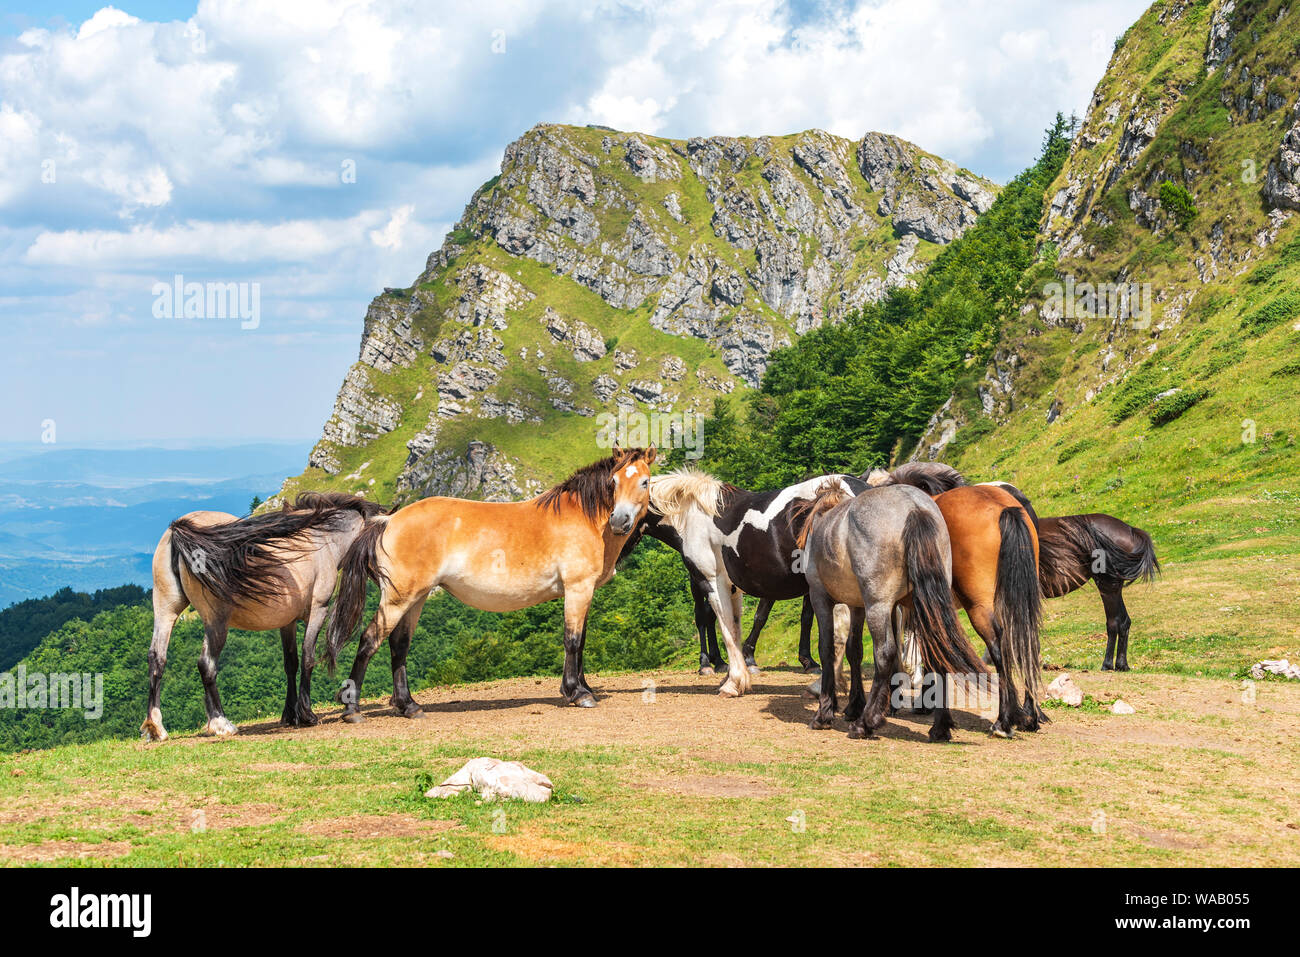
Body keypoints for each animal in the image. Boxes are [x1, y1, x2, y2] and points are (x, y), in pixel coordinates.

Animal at [143, 494, 387, 738]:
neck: (323, 540)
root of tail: (178, 533)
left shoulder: (287, 622)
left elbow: (291, 663)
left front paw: (290, 715)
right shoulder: (319, 610)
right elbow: (308, 657)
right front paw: (306, 714)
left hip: (166, 611)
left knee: (157, 659)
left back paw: (155, 727)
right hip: (216, 622)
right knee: (206, 664)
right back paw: (221, 723)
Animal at [795, 486, 987, 738]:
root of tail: (913, 507)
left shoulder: (821, 598)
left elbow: (828, 649)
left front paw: (824, 713)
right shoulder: (858, 605)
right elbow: (854, 651)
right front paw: (853, 706)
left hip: (879, 606)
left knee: (885, 655)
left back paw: (866, 723)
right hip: (922, 606)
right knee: (937, 650)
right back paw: (940, 727)